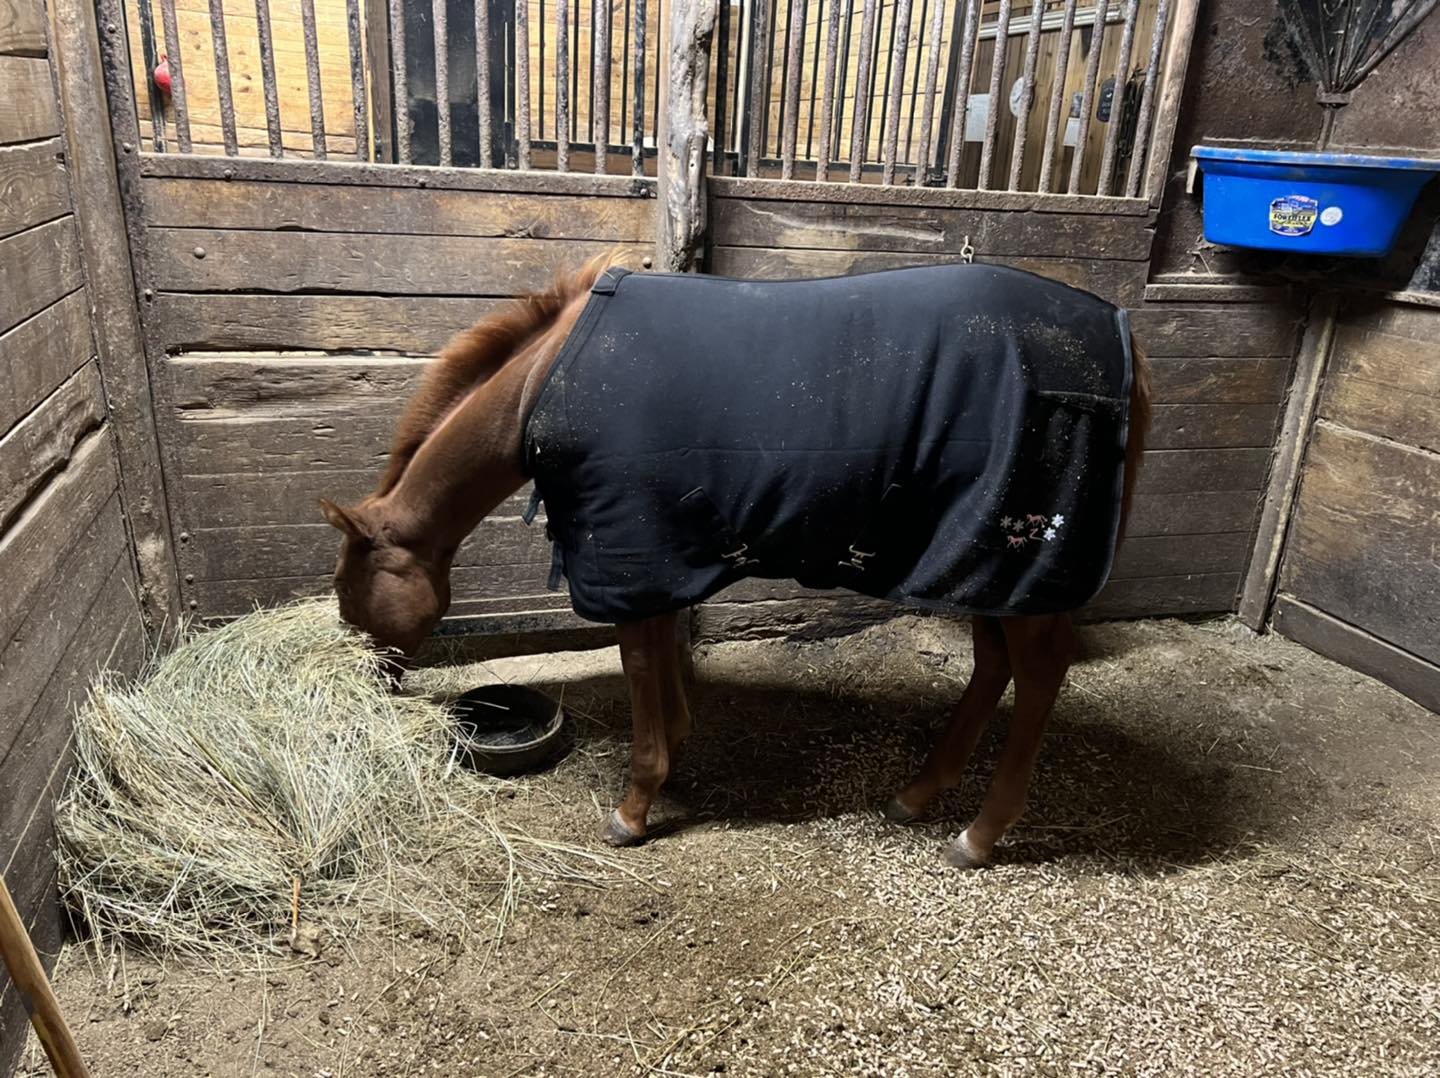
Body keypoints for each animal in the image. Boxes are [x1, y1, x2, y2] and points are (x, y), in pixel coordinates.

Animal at [321, 257, 1151, 869]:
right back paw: (918, 794)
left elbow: (641, 668)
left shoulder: (626, 550)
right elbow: (661, 658)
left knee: (1038, 671)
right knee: (993, 664)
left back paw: (979, 834)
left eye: (348, 592)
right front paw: (675, 751)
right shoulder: (655, 557)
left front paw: (634, 807)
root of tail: (1125, 350)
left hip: (1022, 568)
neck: (543, 385)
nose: (372, 684)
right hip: (983, 567)